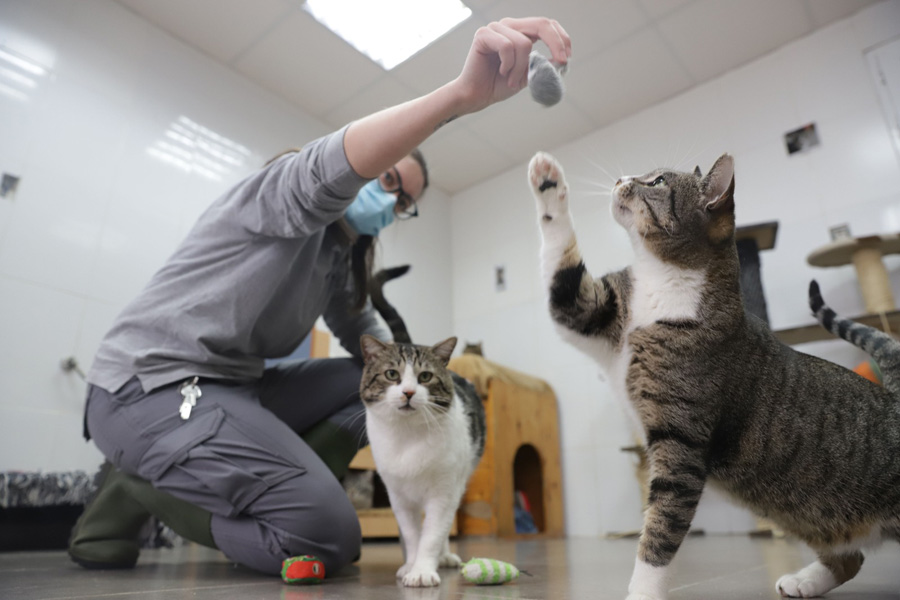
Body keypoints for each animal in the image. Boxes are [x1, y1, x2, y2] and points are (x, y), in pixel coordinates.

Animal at [524, 151, 900, 600]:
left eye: (659, 181)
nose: (619, 178)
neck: (660, 279)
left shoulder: (681, 446)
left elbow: (660, 533)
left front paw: (642, 592)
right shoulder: (589, 310)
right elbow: (562, 276)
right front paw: (548, 178)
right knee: (850, 558)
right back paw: (804, 581)